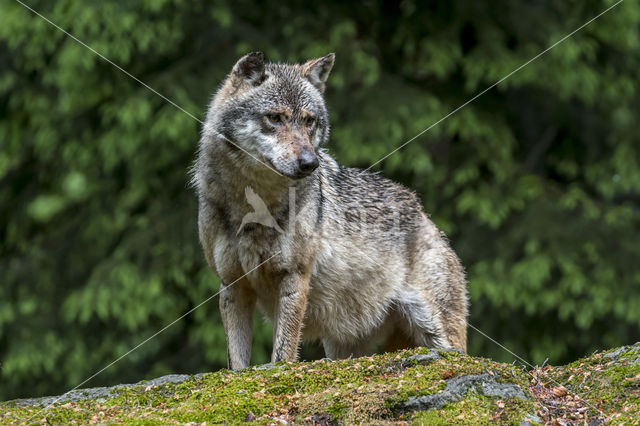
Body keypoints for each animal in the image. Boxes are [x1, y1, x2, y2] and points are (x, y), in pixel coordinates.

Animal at [192, 50, 468, 370]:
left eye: (309, 121)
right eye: (275, 118)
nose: (310, 163)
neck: (254, 206)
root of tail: (424, 213)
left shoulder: (295, 277)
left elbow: (283, 353)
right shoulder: (233, 285)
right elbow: (237, 364)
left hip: (440, 336)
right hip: (341, 347)